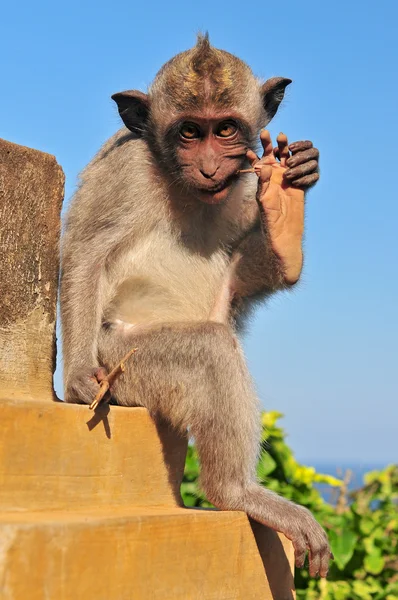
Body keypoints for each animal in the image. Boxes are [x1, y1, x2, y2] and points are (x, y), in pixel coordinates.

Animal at [60, 32, 332, 576]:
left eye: (224, 129)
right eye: (188, 132)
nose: (208, 166)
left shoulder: (245, 179)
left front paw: (287, 196)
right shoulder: (125, 169)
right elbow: (87, 249)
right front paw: (77, 376)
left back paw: (286, 227)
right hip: (123, 360)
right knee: (209, 349)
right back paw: (235, 492)